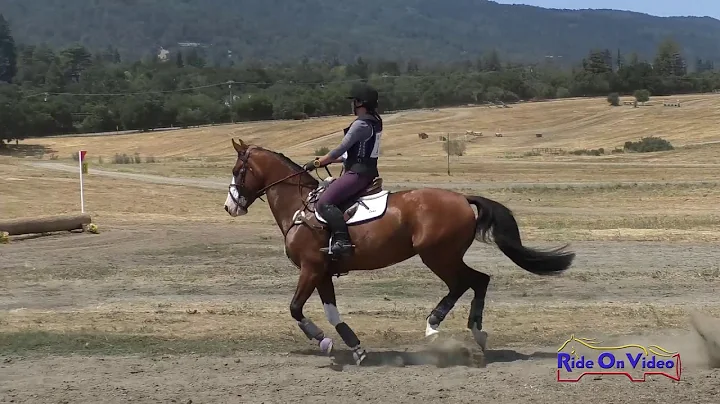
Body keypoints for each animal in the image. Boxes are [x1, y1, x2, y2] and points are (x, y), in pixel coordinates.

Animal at [222, 137, 576, 364]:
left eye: (239, 171)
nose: (230, 207)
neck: (300, 205)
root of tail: (463, 198)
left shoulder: (310, 269)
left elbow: (296, 309)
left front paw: (323, 341)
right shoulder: (322, 272)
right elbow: (332, 312)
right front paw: (356, 348)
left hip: (438, 256)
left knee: (466, 282)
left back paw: (434, 326)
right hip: (444, 257)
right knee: (479, 280)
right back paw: (476, 332)